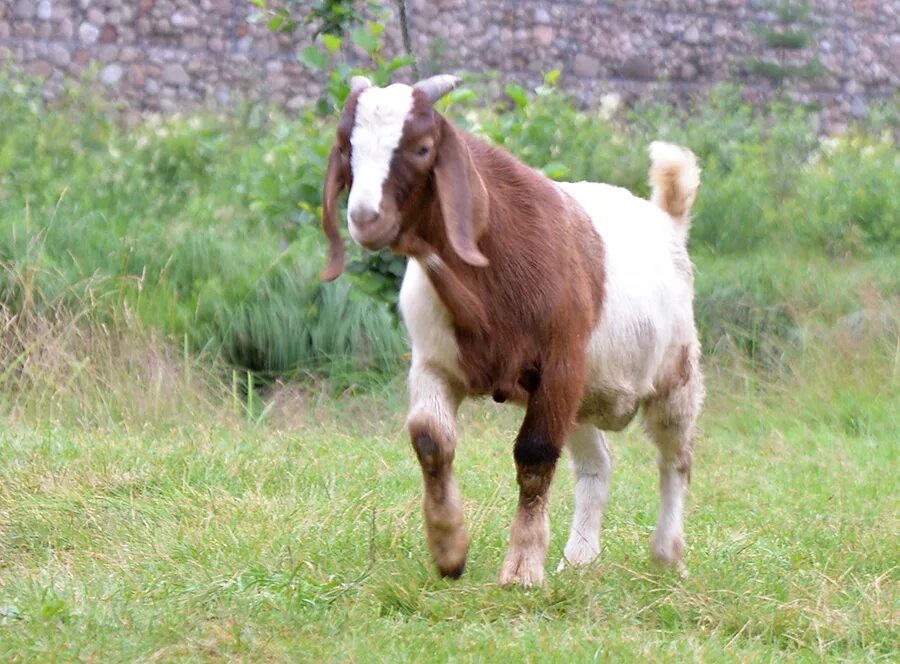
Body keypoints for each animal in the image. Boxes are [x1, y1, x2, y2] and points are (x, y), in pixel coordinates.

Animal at [322, 75, 704, 588]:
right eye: (346, 146)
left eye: (422, 148)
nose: (365, 218)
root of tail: (668, 221)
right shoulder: (434, 361)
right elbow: (430, 438)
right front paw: (449, 549)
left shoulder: (560, 364)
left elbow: (535, 456)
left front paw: (522, 569)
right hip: (585, 393)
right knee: (597, 465)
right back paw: (578, 559)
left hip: (674, 373)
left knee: (674, 459)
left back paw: (667, 556)